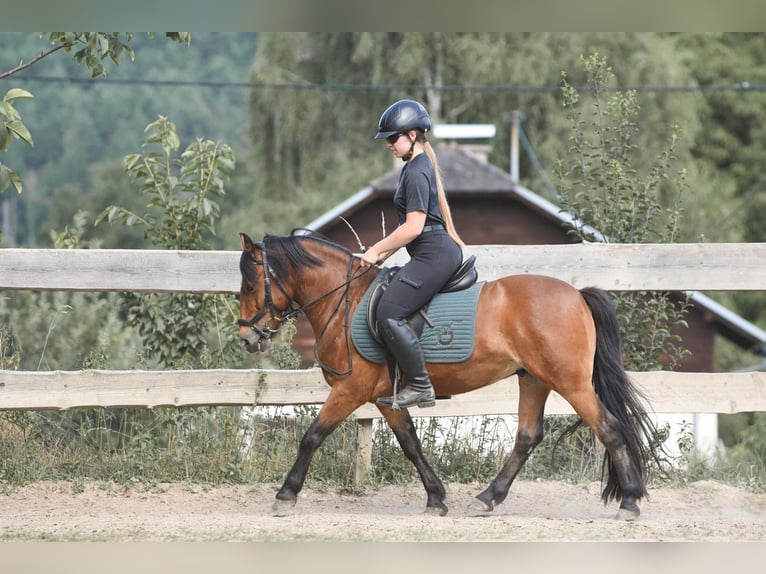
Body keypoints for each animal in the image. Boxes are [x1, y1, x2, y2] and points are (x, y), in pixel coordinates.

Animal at [237, 230, 658, 520]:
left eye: (251, 283)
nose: (246, 338)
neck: (347, 301)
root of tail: (577, 294)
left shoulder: (350, 389)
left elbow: (312, 436)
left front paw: (286, 495)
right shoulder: (383, 396)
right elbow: (410, 444)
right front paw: (436, 497)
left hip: (569, 382)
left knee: (609, 428)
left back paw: (629, 501)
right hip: (533, 379)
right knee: (527, 437)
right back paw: (488, 498)